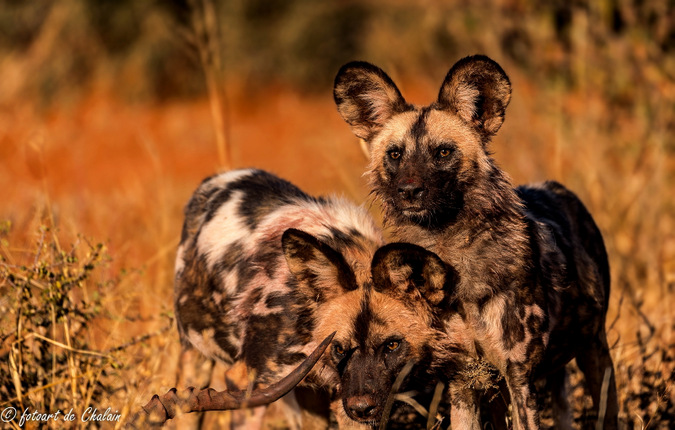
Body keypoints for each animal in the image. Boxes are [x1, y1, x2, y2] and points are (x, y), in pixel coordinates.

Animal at [176, 168, 464, 426]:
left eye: (392, 345)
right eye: (339, 348)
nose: (361, 408)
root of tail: (219, 178)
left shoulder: (345, 398)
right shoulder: (246, 382)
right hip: (196, 361)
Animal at [336, 57, 620, 430]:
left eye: (443, 152)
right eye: (395, 154)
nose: (409, 191)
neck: (450, 255)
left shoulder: (519, 376)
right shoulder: (463, 381)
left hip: (594, 354)